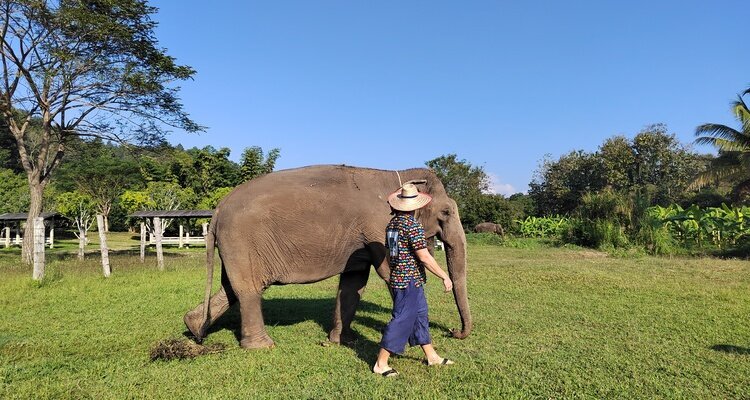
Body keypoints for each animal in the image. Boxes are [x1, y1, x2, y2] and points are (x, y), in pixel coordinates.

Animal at [183, 165, 472, 349]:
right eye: (446, 212)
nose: (454, 331)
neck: (396, 174)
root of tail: (218, 210)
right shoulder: (378, 227)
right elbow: (389, 274)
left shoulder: (361, 238)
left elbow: (354, 283)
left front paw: (342, 341)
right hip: (242, 241)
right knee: (249, 289)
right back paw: (262, 346)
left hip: (234, 246)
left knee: (231, 288)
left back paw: (194, 328)